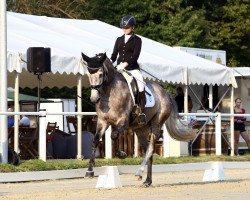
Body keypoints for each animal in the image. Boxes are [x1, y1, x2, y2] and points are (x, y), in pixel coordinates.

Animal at [81, 52, 196, 187]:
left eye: (100, 74)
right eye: (88, 74)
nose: (94, 98)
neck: (109, 92)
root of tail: (165, 93)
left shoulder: (123, 122)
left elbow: (114, 136)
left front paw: (121, 154)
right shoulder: (103, 122)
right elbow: (96, 141)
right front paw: (89, 171)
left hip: (156, 124)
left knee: (150, 148)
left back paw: (139, 173)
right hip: (140, 129)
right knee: (147, 151)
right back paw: (147, 180)